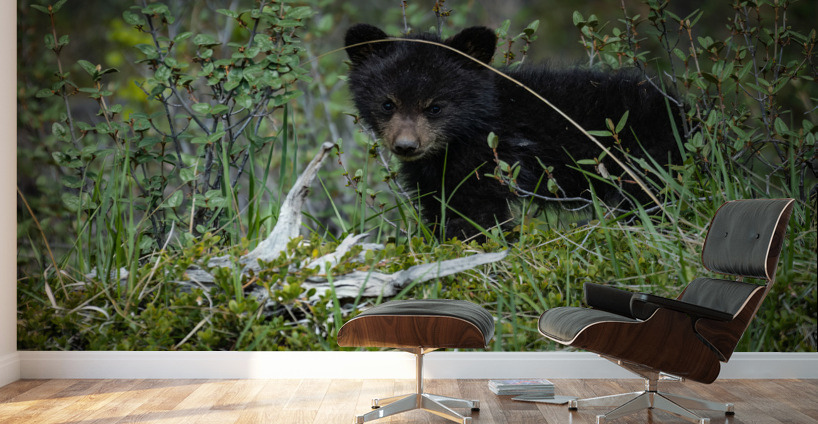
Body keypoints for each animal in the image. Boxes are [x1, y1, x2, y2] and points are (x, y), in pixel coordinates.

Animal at [344, 23, 683, 240]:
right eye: (388, 103)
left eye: (435, 107)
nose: (406, 146)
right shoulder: (433, 175)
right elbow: (439, 207)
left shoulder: (491, 162)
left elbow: (478, 215)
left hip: (648, 159)